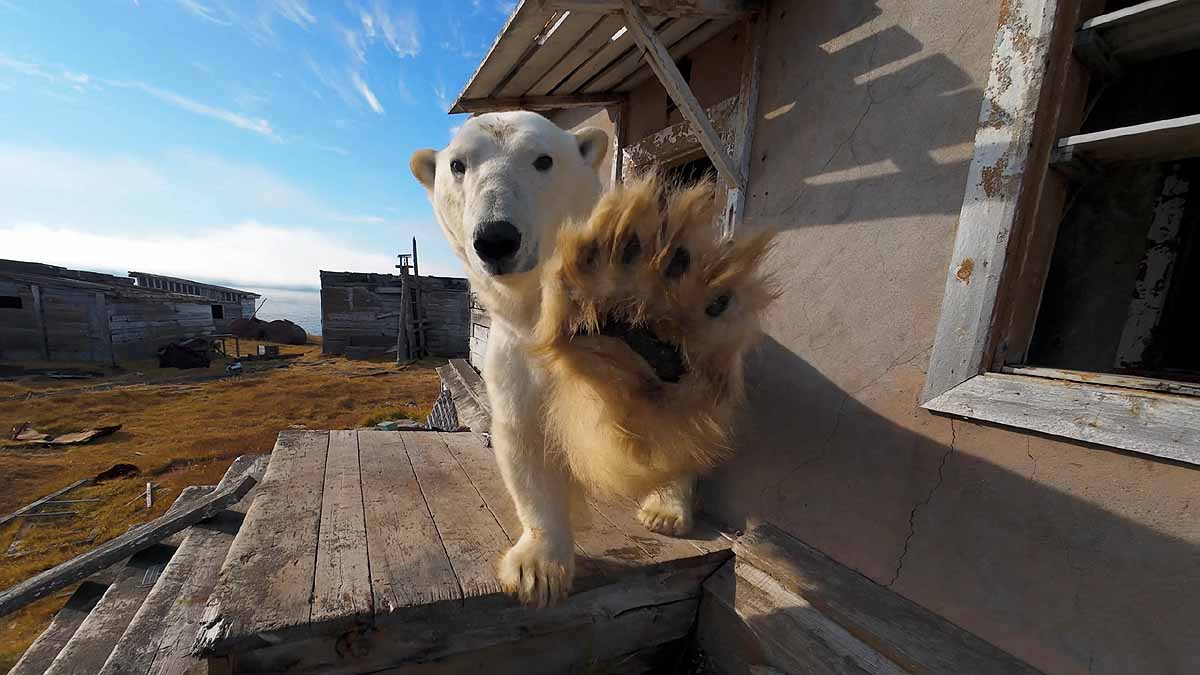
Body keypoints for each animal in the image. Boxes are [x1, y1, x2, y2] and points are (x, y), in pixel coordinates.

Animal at [410, 111, 774, 607]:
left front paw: (632, 330)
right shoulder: (514, 354)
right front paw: (537, 569)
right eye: (458, 165)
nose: (496, 239)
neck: (540, 314)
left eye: (543, 159)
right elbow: (526, 439)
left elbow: (630, 435)